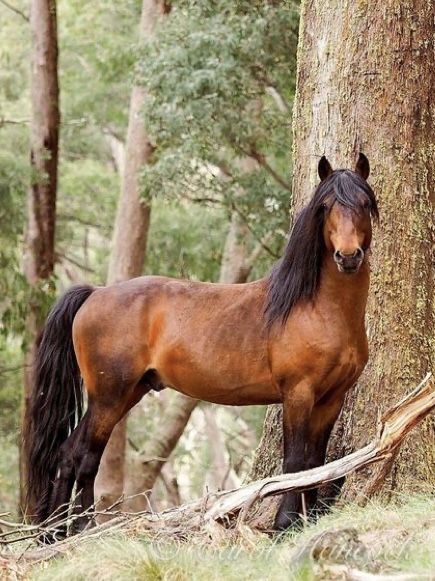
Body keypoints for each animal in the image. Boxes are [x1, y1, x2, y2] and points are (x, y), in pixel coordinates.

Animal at [25, 152, 378, 532]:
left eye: (363, 203)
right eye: (326, 206)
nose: (347, 257)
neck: (316, 308)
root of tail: (95, 293)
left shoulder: (331, 398)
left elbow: (317, 462)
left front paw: (306, 519)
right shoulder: (298, 393)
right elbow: (296, 462)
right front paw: (285, 523)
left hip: (130, 392)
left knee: (73, 454)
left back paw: (59, 533)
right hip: (109, 396)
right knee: (82, 456)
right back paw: (77, 529)